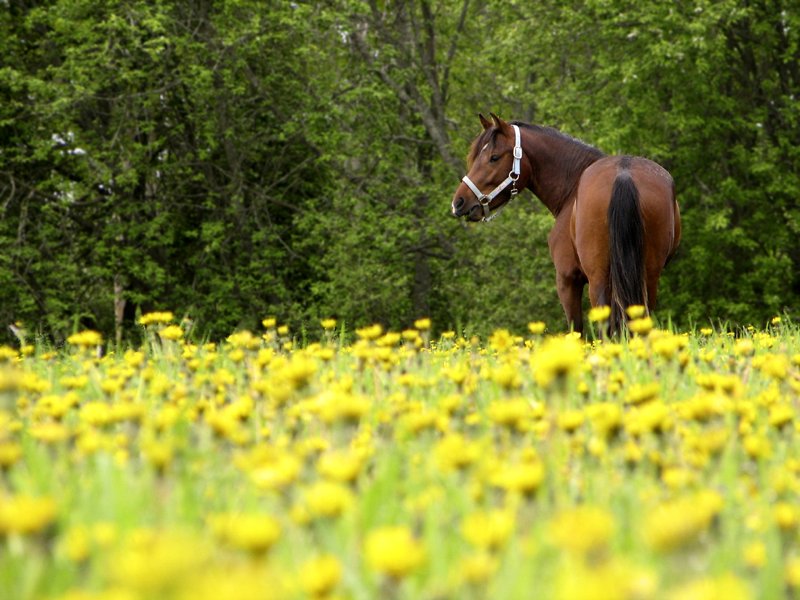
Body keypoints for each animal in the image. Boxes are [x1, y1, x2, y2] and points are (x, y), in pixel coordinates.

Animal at [450, 115, 680, 336]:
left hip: (599, 281)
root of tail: (623, 174)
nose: (459, 202)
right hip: (646, 277)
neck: (572, 188)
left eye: (494, 157)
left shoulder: (567, 280)